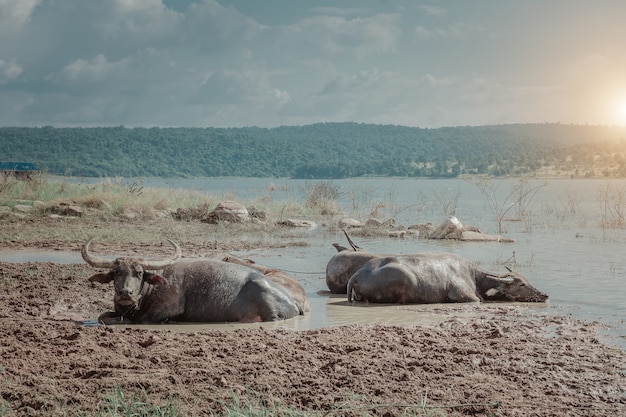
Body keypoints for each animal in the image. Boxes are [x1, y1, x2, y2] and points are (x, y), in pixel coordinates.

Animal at [82, 239, 302, 324]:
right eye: (116, 272)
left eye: (139, 273)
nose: (125, 293)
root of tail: (292, 301)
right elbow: (102, 316)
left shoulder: (168, 308)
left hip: (271, 312)